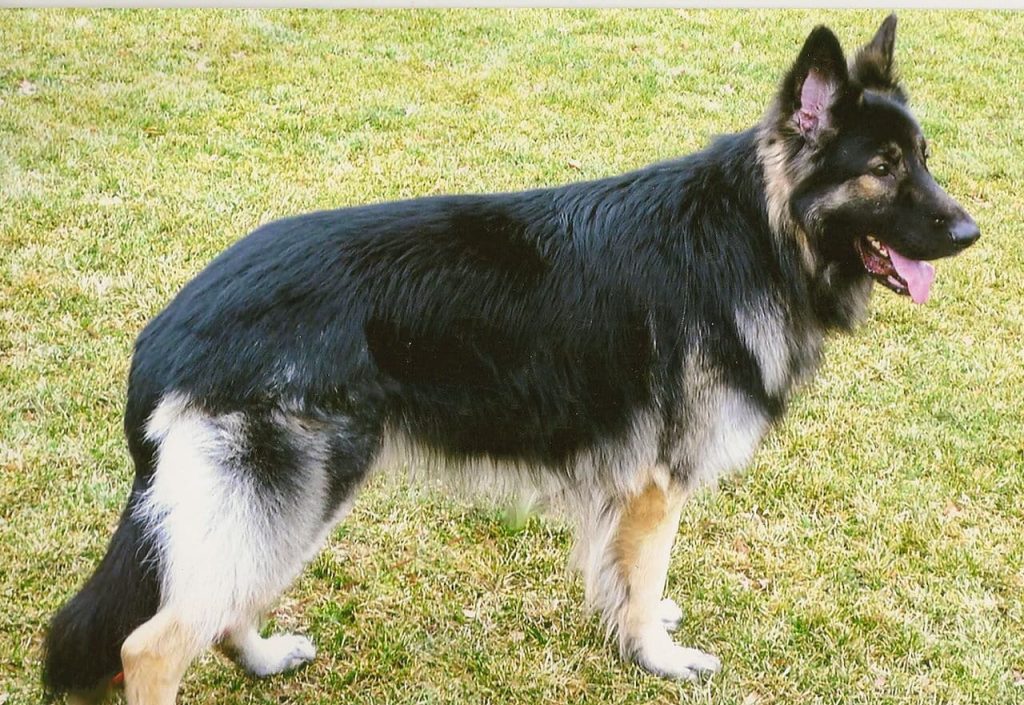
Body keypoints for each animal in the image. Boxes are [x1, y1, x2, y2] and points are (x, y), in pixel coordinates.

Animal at [46, 16, 974, 705]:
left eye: (924, 158)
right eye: (883, 167)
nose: (971, 231)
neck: (755, 235)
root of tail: (169, 327)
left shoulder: (625, 493)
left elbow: (624, 579)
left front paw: (643, 626)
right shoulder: (657, 486)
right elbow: (642, 580)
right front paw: (660, 658)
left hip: (289, 497)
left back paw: (264, 655)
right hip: (291, 490)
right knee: (152, 643)